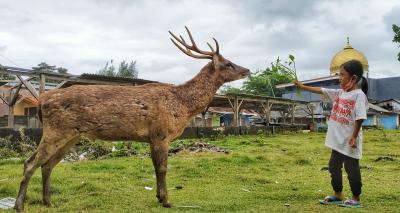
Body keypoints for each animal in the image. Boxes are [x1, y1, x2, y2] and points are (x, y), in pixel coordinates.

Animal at [15, 27, 250, 211]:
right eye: (228, 63)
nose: (247, 70)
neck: (182, 106)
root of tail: (41, 101)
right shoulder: (160, 133)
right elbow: (162, 168)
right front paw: (166, 200)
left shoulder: (153, 137)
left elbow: (157, 168)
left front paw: (160, 197)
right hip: (56, 130)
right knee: (30, 163)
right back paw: (19, 205)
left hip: (71, 136)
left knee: (47, 165)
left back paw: (48, 202)